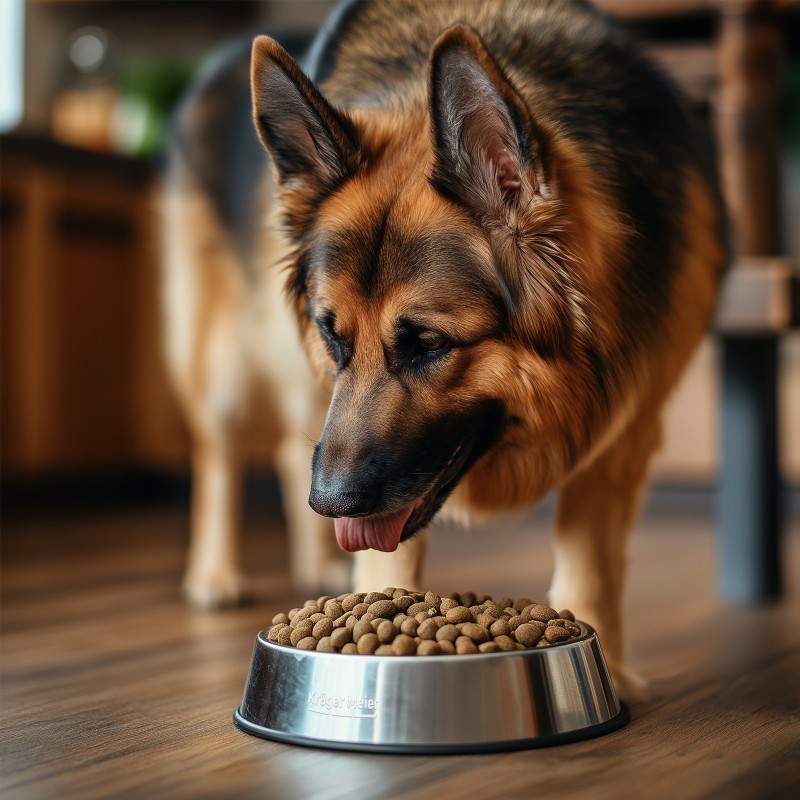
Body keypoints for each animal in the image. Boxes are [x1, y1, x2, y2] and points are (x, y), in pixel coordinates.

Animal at [162, 0, 724, 696]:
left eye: (427, 341)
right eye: (332, 333)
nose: (330, 504)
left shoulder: (621, 430)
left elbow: (591, 560)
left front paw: (606, 671)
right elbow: (390, 560)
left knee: (292, 447)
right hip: (229, 363)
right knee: (220, 453)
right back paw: (215, 575)